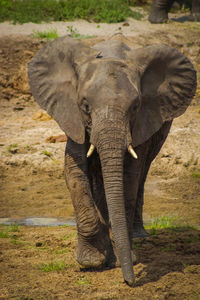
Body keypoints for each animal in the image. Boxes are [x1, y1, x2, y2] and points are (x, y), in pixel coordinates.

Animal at [27, 36, 196, 288]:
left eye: (135, 106)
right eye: (85, 106)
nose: (130, 282)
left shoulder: (143, 120)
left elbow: (129, 177)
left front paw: (120, 259)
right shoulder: (73, 117)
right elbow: (75, 171)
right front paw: (91, 261)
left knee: (142, 173)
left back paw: (137, 234)